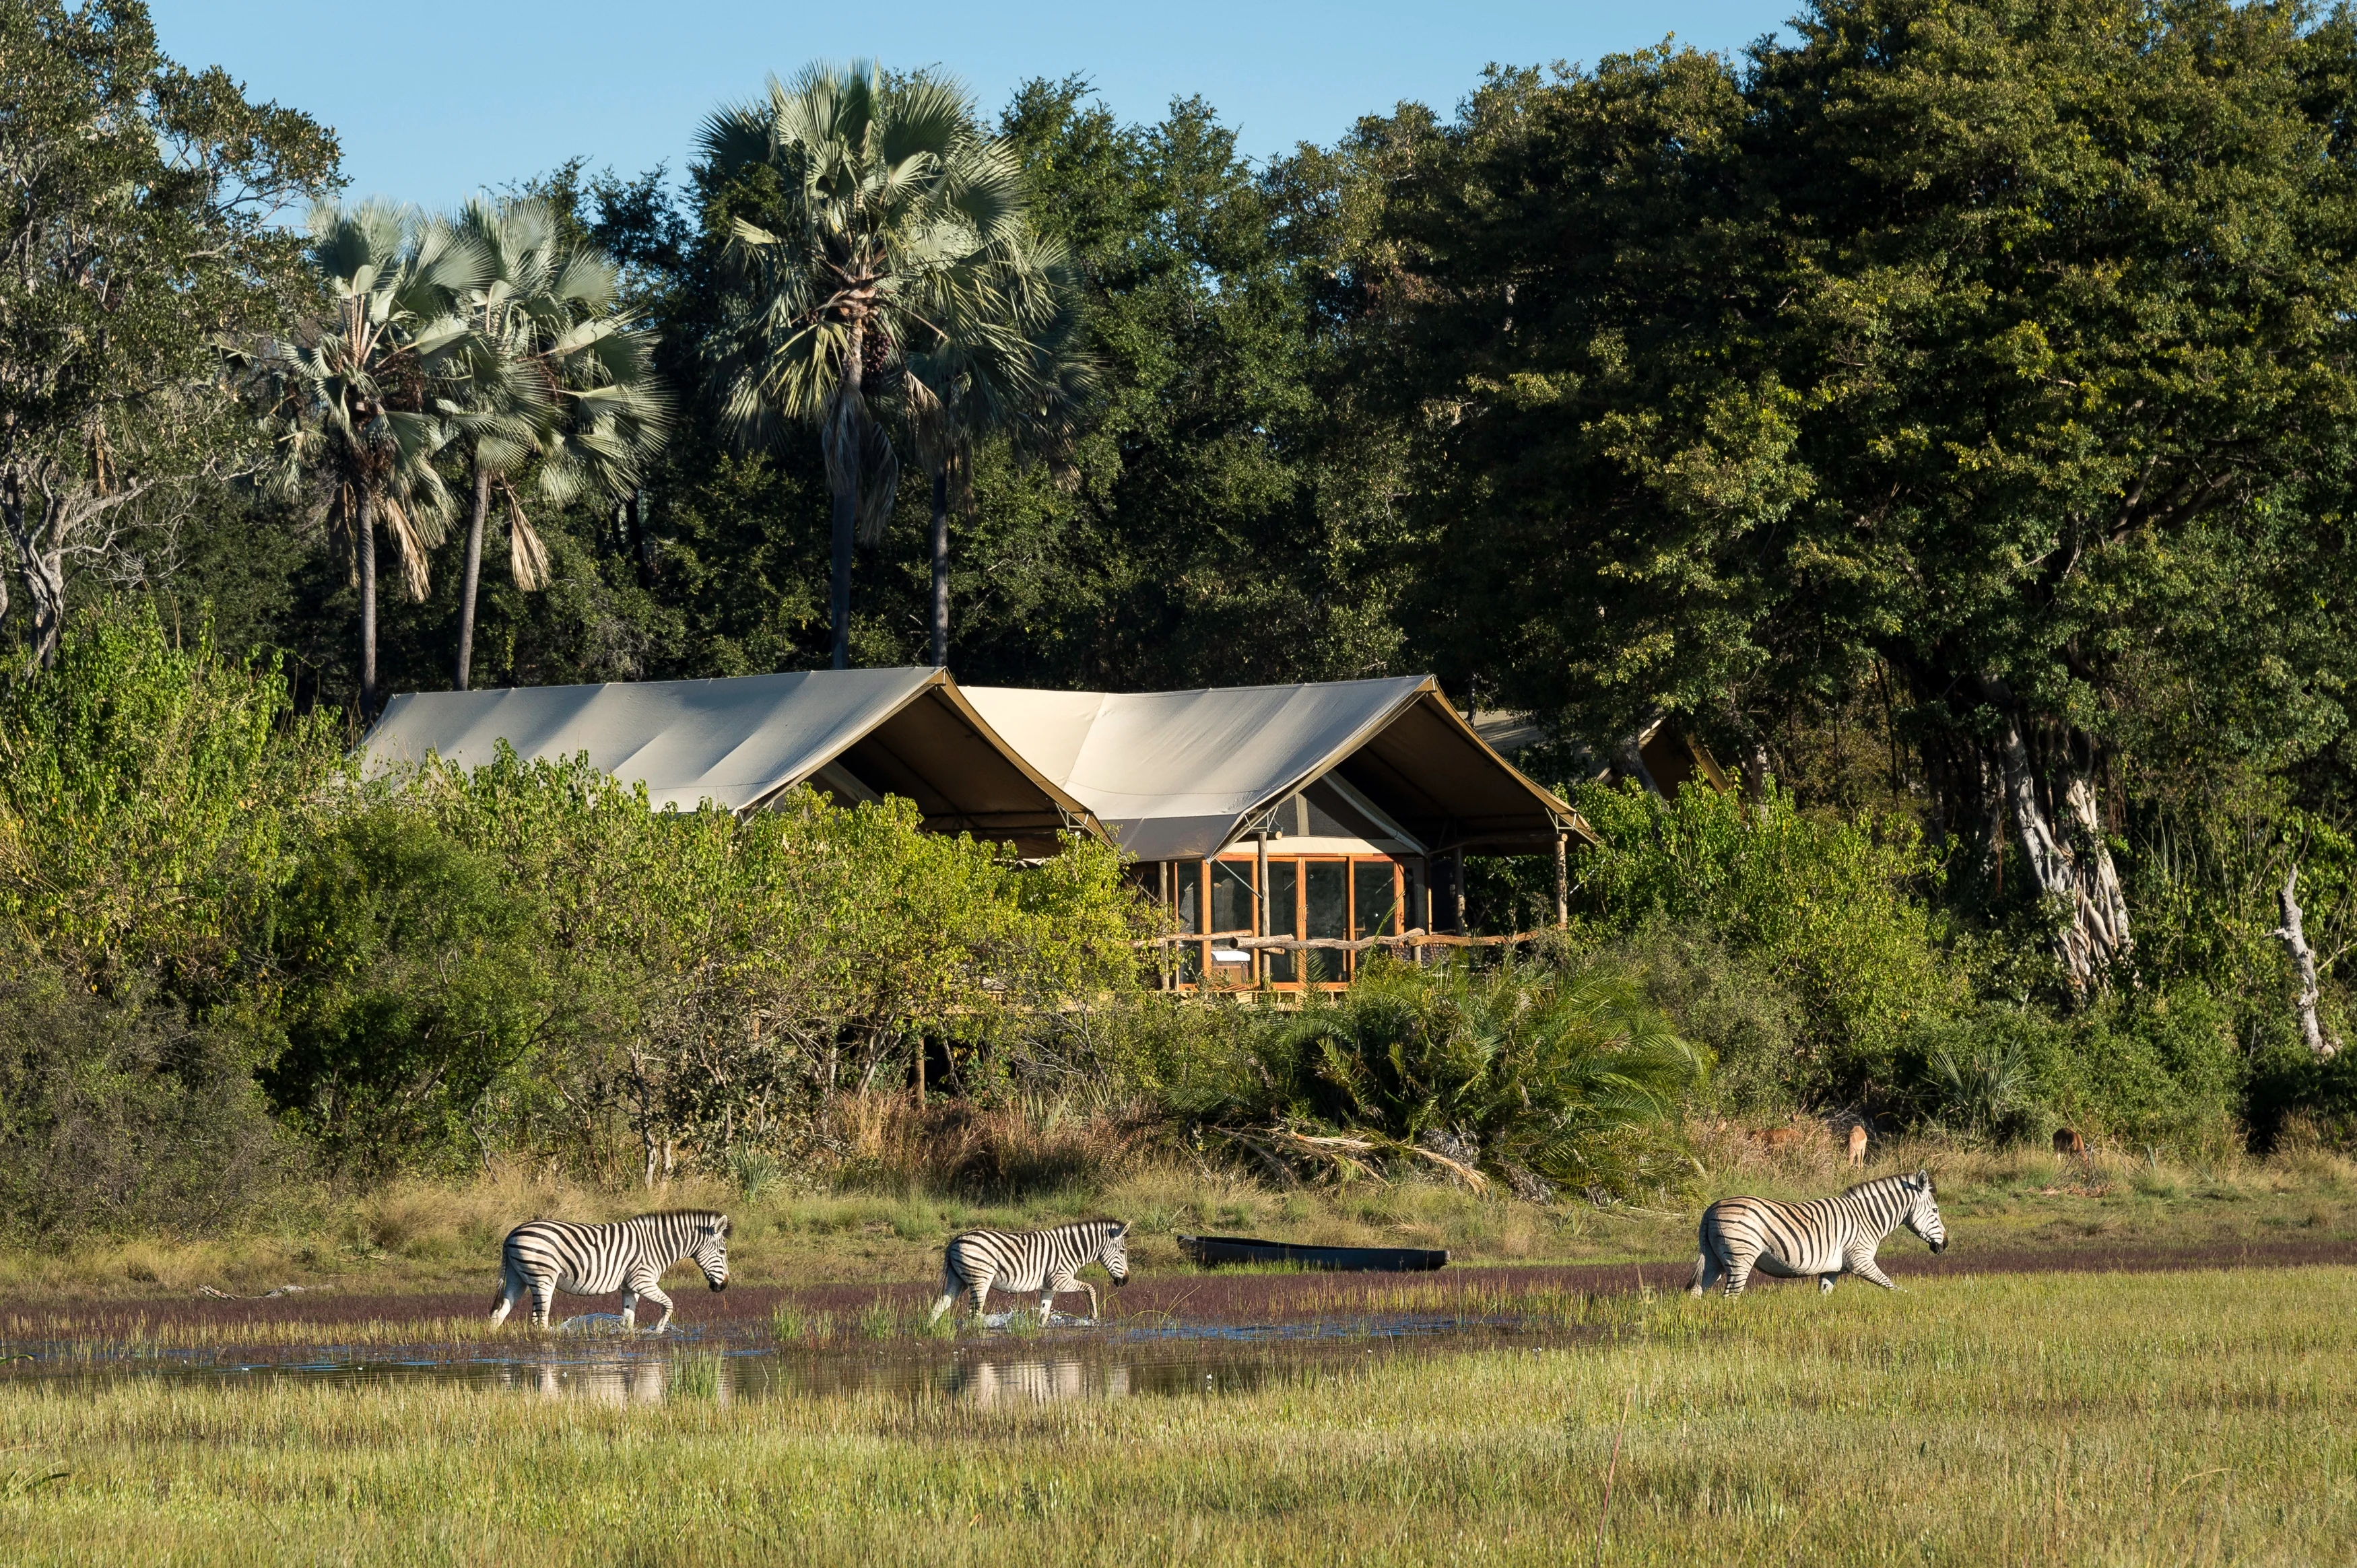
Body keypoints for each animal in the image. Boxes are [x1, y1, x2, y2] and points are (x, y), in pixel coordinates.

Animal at [488, 1211, 731, 1331]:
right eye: (722, 1251)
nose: (724, 1286)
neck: (657, 1245)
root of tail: (513, 1232)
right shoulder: (642, 1281)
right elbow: (669, 1304)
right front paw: (659, 1331)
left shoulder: (629, 1287)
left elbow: (628, 1319)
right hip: (543, 1277)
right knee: (539, 1319)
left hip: (517, 1278)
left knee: (499, 1314)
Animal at [928, 1219, 1130, 1326]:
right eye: (1123, 1251)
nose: (1126, 1281)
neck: (1071, 1249)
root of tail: (955, 1240)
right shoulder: (1060, 1279)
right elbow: (1090, 1288)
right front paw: (1094, 1317)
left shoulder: (1049, 1287)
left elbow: (1044, 1314)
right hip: (980, 1279)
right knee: (974, 1314)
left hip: (957, 1280)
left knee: (938, 1307)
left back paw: (929, 1331)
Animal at [1689, 1169, 1946, 1298]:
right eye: (1935, 1211)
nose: (1945, 1244)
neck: (1868, 1218)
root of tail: (1712, 1208)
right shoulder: (1861, 1260)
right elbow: (1891, 1286)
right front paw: (1912, 1299)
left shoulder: (1831, 1270)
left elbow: (1824, 1296)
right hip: (1740, 1257)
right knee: (1730, 1296)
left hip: (1714, 1261)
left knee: (1696, 1291)